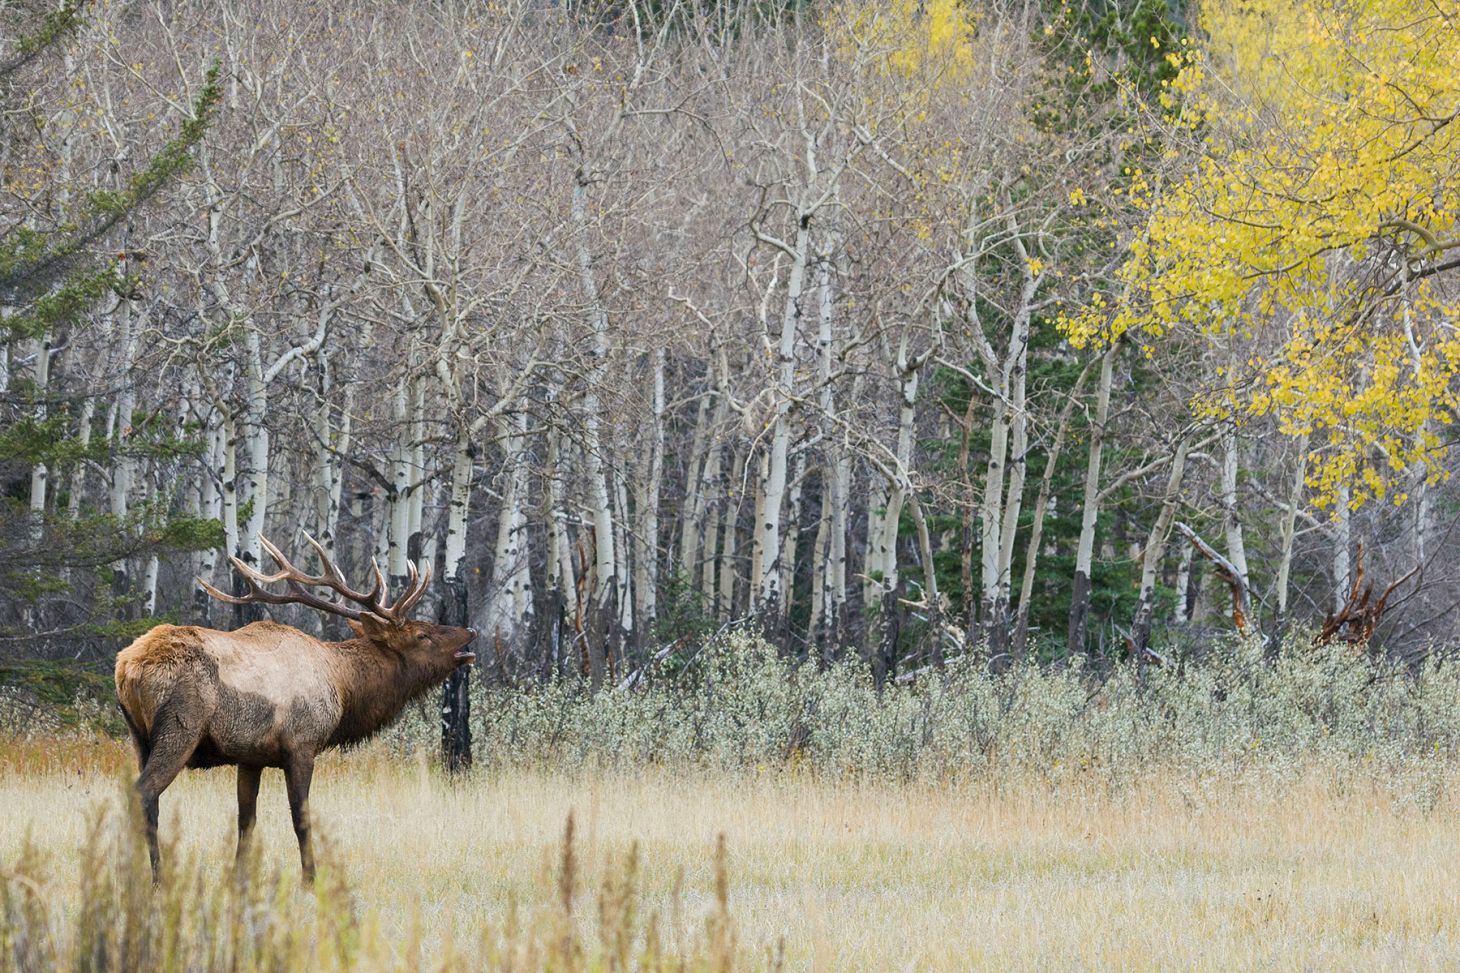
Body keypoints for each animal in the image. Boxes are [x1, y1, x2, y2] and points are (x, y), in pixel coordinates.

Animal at [114, 534, 476, 883]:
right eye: (422, 634)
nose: (469, 631)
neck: (343, 687)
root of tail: (128, 667)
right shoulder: (301, 745)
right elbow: (301, 818)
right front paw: (310, 878)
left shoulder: (251, 757)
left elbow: (246, 820)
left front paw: (239, 880)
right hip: (179, 728)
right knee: (143, 793)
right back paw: (152, 879)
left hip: (138, 737)